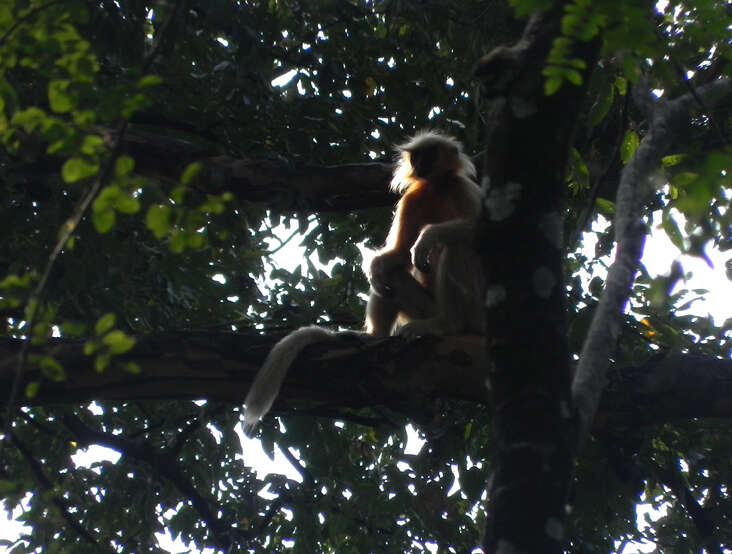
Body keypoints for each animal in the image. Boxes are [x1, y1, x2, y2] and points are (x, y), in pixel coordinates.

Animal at [244, 132, 486, 430]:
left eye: (428, 154)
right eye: (417, 156)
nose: (419, 164)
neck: (437, 187)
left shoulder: (463, 188)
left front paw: (428, 236)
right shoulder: (413, 198)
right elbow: (397, 256)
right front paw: (379, 264)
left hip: (477, 310)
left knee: (458, 246)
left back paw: (447, 324)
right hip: (425, 307)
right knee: (389, 274)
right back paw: (374, 334)